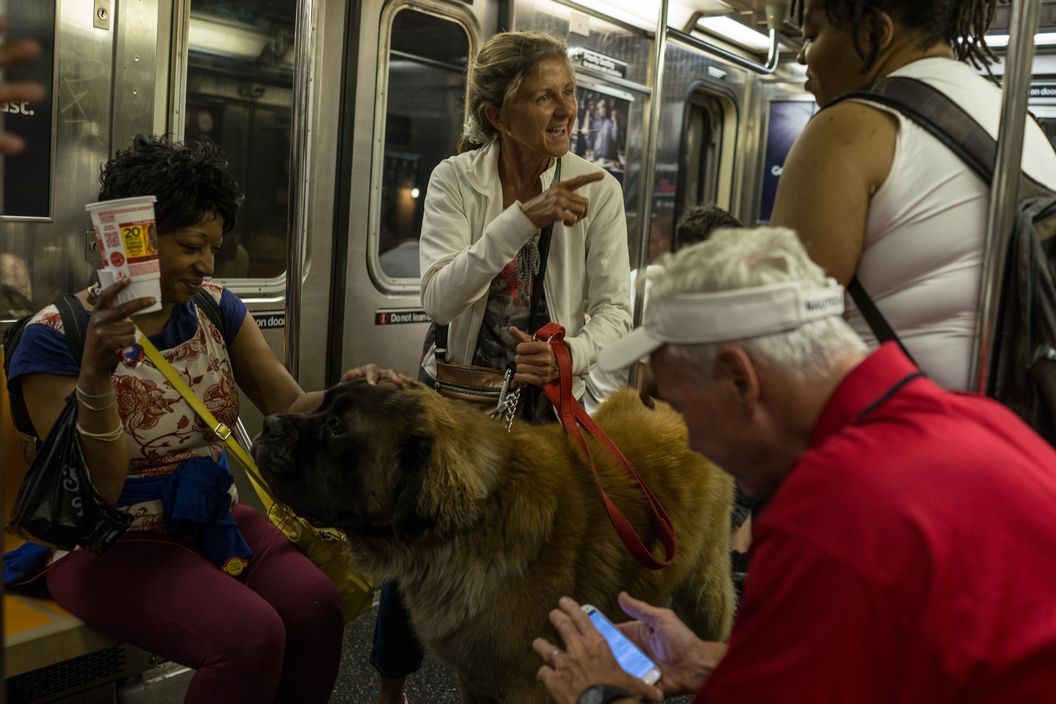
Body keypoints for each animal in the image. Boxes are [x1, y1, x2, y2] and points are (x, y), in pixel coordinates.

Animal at [255, 382, 734, 700]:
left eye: (337, 428)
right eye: (322, 405)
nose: (269, 424)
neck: (470, 527)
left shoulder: (529, 685)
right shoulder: (476, 675)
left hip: (704, 585)